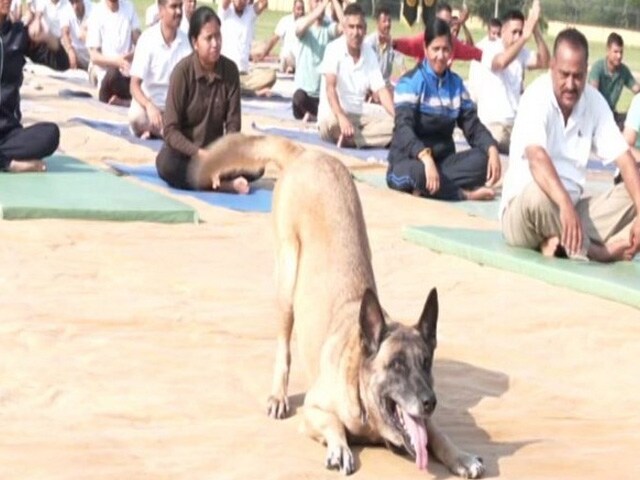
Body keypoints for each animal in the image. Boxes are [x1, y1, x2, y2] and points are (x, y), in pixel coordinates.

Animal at [190, 132, 484, 476]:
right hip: (287, 279)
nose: (429, 401)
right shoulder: (313, 410)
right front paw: (340, 447)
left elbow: (438, 434)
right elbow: (334, 423)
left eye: (426, 363)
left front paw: (460, 455)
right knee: (283, 348)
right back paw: (278, 394)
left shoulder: (424, 421)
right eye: (396, 365)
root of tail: (307, 153)